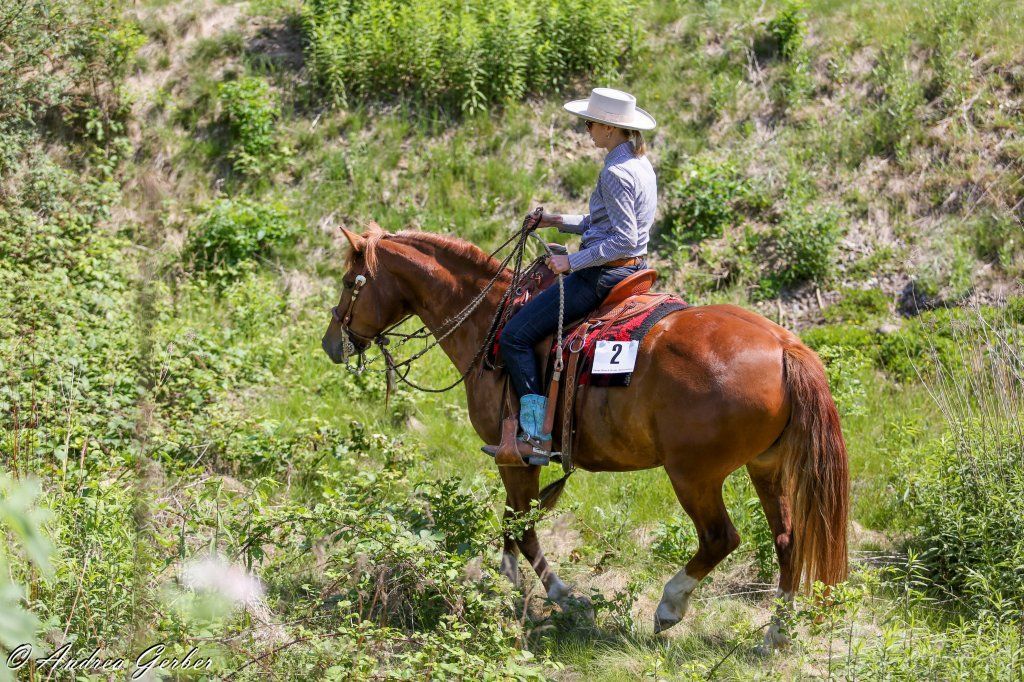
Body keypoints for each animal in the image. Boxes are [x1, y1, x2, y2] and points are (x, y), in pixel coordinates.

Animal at [321, 223, 849, 650]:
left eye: (350, 282)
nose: (331, 344)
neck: (490, 322)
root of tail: (784, 346)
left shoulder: (513, 455)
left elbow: (523, 526)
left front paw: (561, 595)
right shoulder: (516, 462)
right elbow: (514, 522)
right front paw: (509, 582)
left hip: (694, 474)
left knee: (720, 538)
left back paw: (669, 606)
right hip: (767, 467)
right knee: (787, 539)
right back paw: (775, 633)